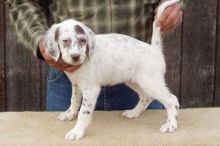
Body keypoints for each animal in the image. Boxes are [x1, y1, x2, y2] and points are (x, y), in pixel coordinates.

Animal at [43, 0, 180, 141]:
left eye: (83, 40)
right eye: (65, 41)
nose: (76, 56)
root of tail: (154, 49)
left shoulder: (91, 89)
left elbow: (83, 113)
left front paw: (77, 132)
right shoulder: (76, 84)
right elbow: (74, 100)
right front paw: (69, 114)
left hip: (151, 82)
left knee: (172, 100)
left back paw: (171, 125)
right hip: (134, 81)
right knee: (146, 97)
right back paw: (133, 113)